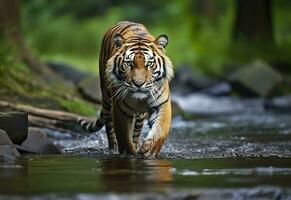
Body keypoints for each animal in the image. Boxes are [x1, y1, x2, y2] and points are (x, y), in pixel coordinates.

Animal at [78, 20, 173, 158]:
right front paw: (129, 154)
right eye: (129, 63)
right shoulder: (120, 109)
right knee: (109, 126)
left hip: (139, 115)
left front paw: (150, 150)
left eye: (149, 63)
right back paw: (113, 148)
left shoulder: (162, 104)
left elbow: (160, 130)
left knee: (137, 130)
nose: (139, 84)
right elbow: (123, 136)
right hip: (107, 99)